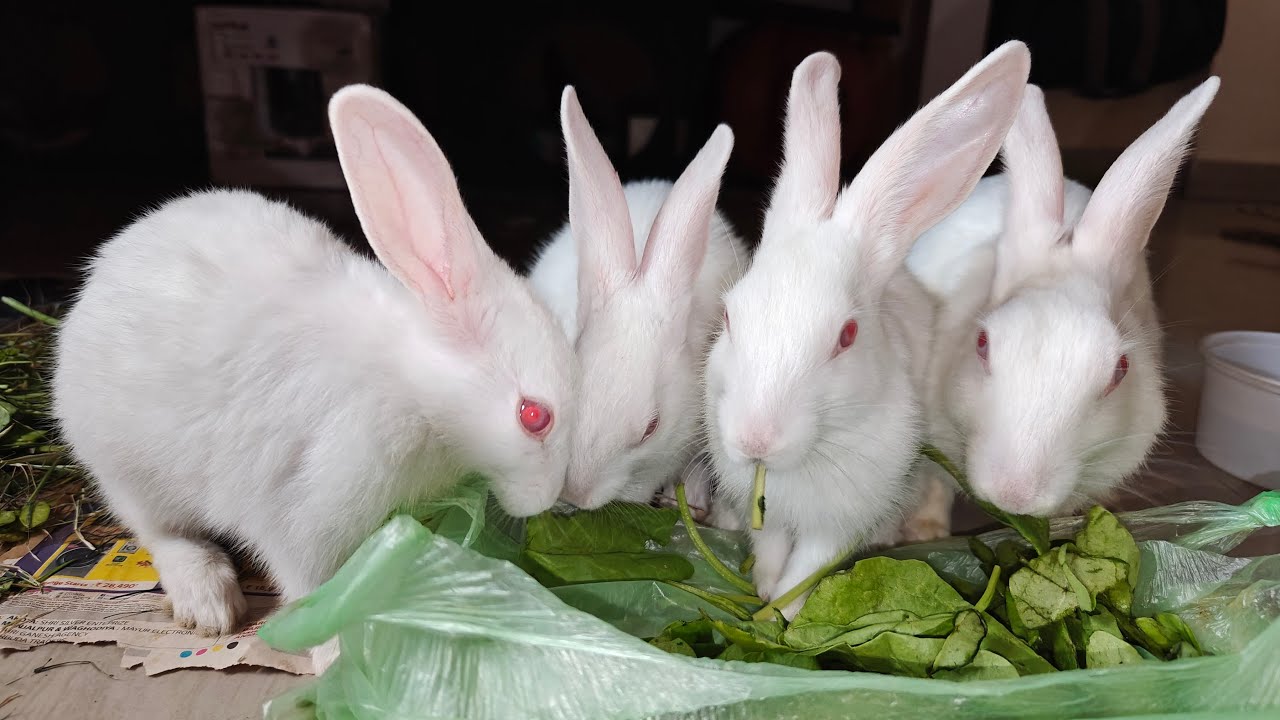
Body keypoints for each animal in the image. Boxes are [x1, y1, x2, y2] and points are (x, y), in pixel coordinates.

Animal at [51, 85, 575, 640]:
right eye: (534, 416)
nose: (551, 501)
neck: (414, 387)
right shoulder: (302, 511)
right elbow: (308, 581)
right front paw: (331, 644)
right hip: (129, 469)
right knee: (160, 532)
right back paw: (210, 602)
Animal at [703, 41, 1032, 617]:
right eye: (728, 316)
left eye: (847, 336)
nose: (754, 439)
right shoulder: (766, 512)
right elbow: (770, 549)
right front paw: (763, 590)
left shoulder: (837, 525)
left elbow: (806, 570)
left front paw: (781, 613)